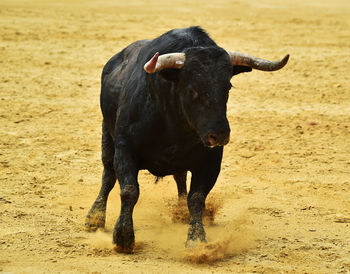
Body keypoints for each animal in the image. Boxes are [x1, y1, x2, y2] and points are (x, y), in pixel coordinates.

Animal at [84, 26, 288, 253]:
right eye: (192, 89)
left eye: (227, 87)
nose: (219, 135)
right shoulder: (125, 148)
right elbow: (129, 190)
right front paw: (123, 238)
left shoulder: (211, 160)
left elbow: (197, 198)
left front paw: (197, 241)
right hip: (106, 134)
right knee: (108, 174)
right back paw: (94, 218)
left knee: (180, 178)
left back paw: (180, 212)